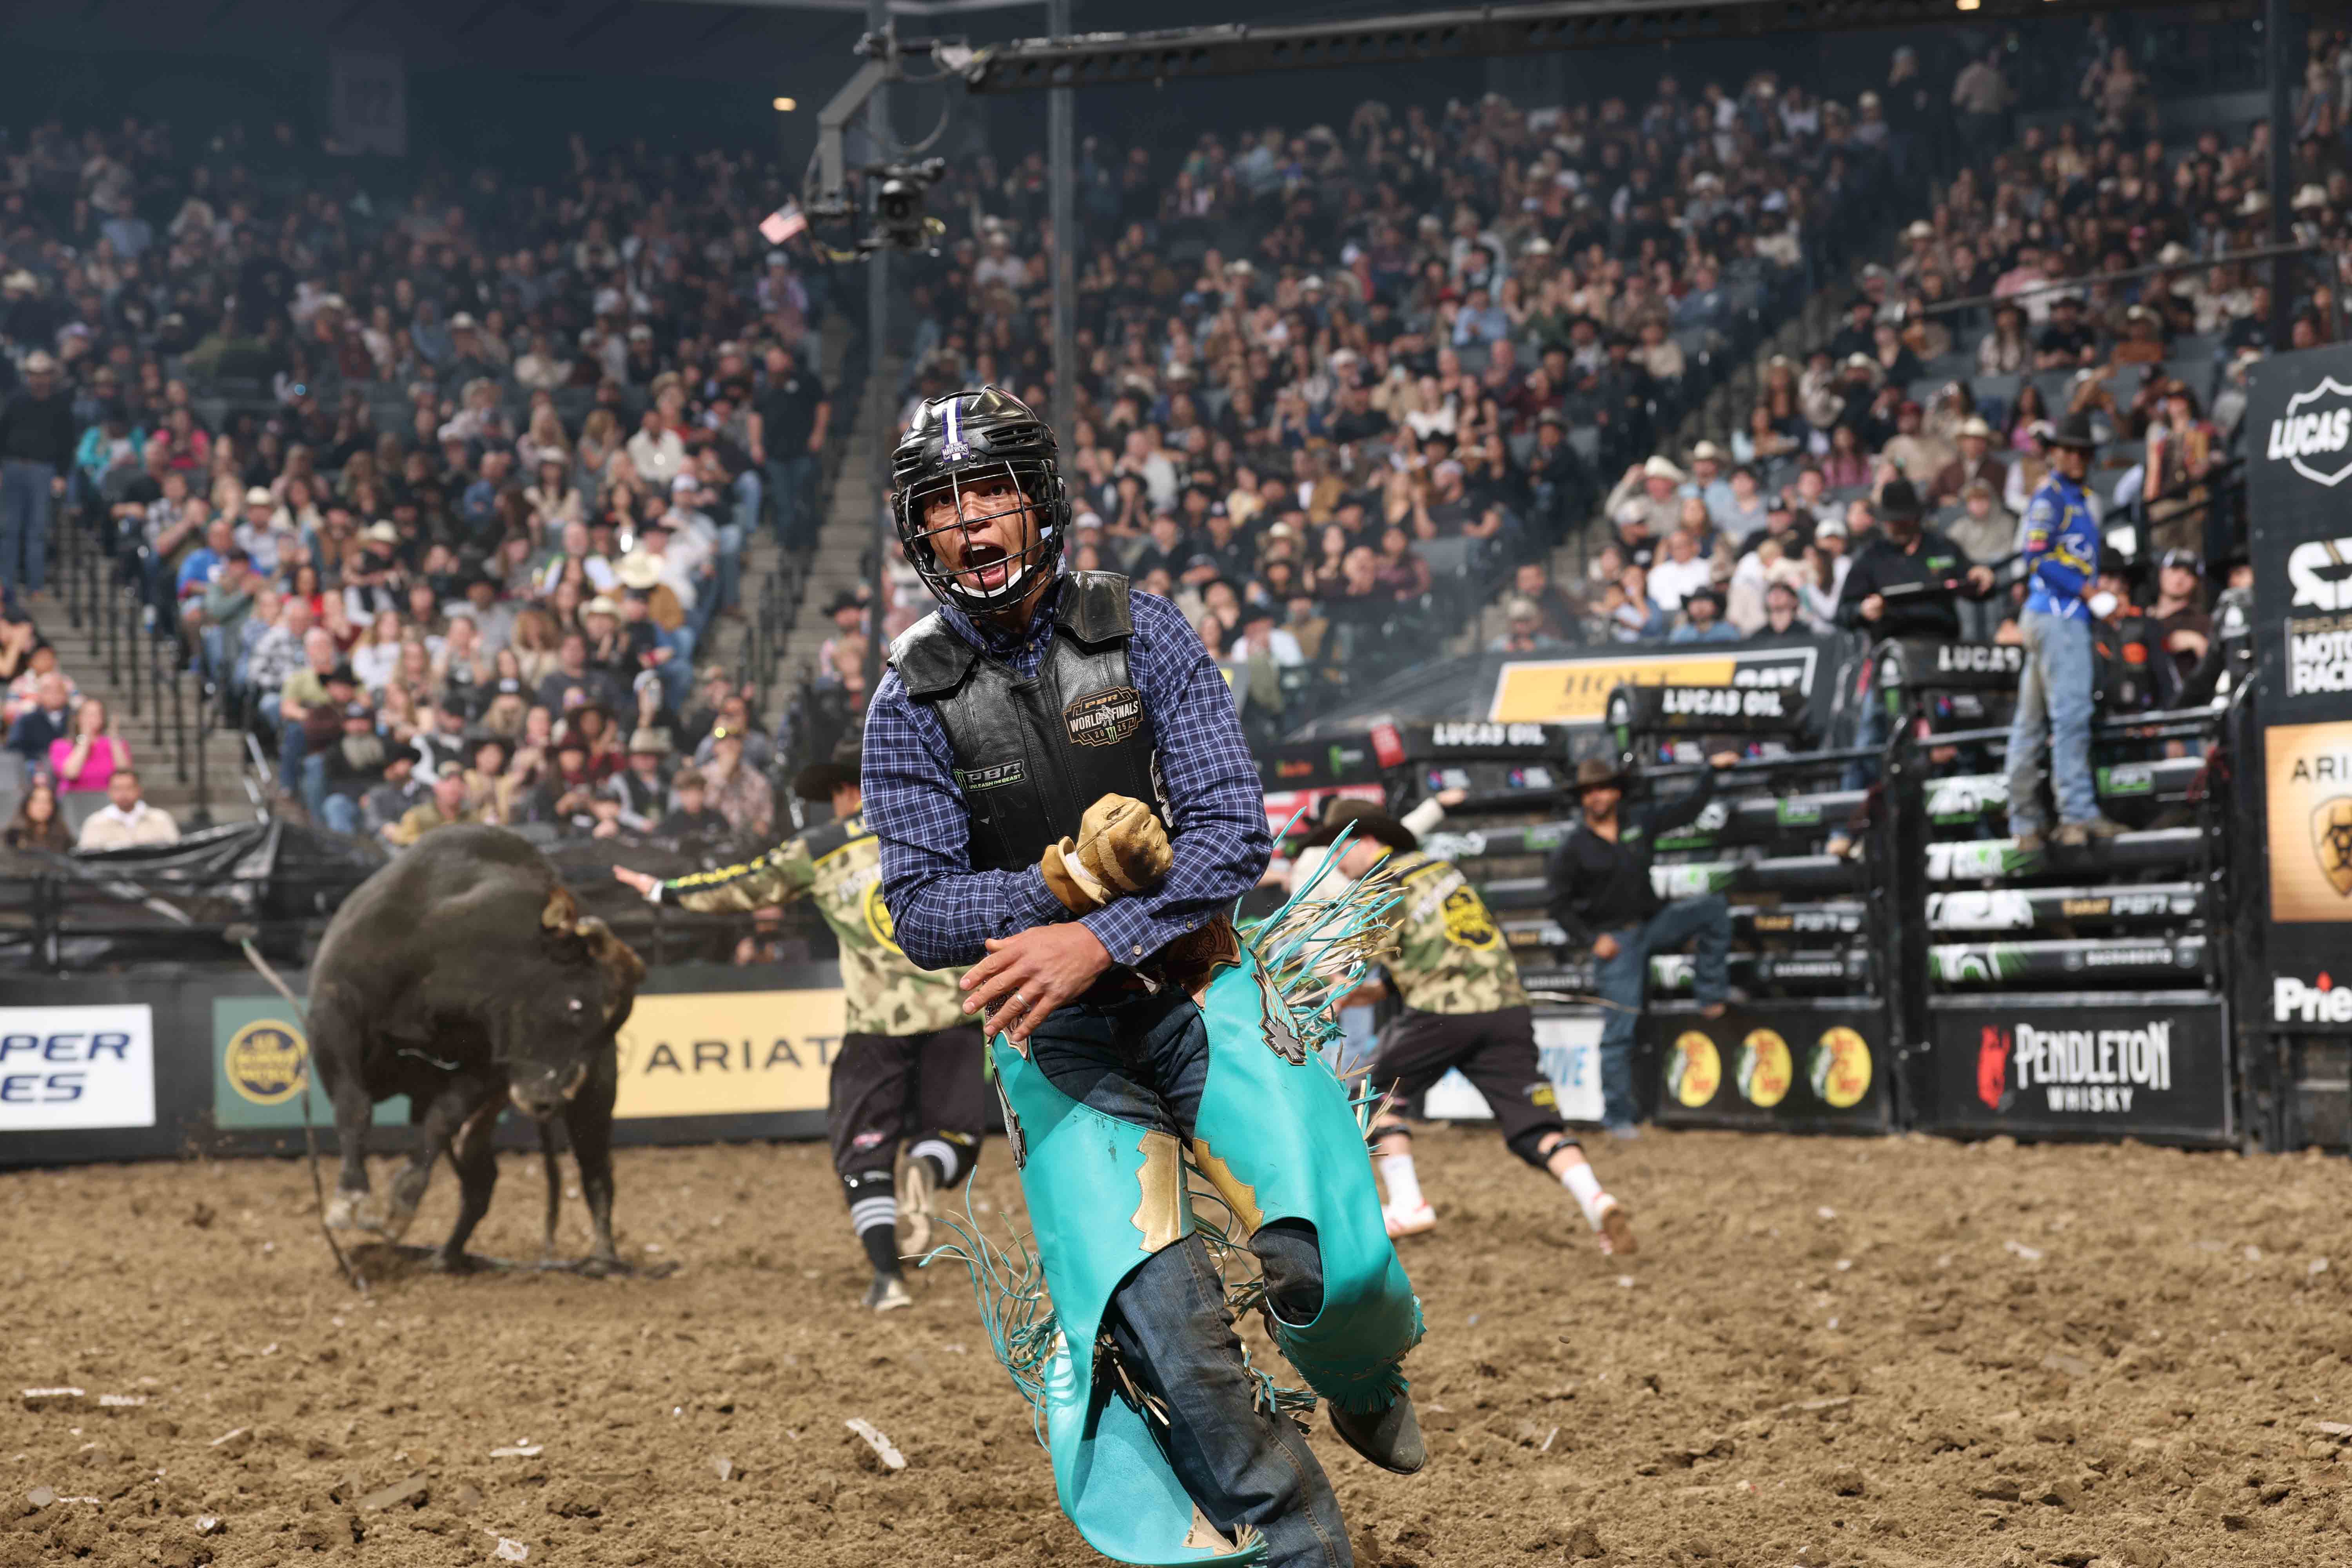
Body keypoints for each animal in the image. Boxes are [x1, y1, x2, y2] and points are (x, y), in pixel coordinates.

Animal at [307, 825, 647, 1273]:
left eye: (610, 1030)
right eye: (576, 1005)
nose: (548, 1102)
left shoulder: (488, 1065)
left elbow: (438, 1122)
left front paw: (401, 1205)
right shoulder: (333, 1012)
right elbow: (354, 1105)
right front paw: (350, 1198)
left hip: (593, 1097)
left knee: (594, 1170)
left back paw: (603, 1258)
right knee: (481, 1179)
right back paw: (446, 1256)